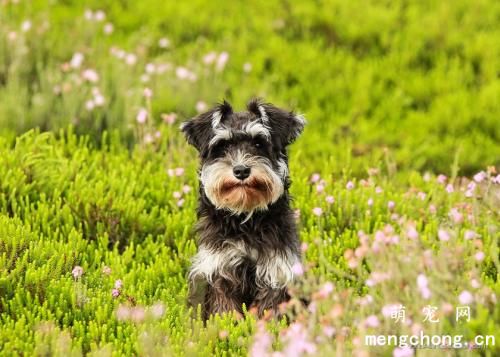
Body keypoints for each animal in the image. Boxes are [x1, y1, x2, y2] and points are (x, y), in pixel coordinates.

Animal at [180, 98, 304, 318]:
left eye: (258, 143)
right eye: (222, 146)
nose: (241, 170)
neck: (245, 219)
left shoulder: (276, 272)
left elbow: (268, 310)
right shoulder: (219, 271)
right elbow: (225, 310)